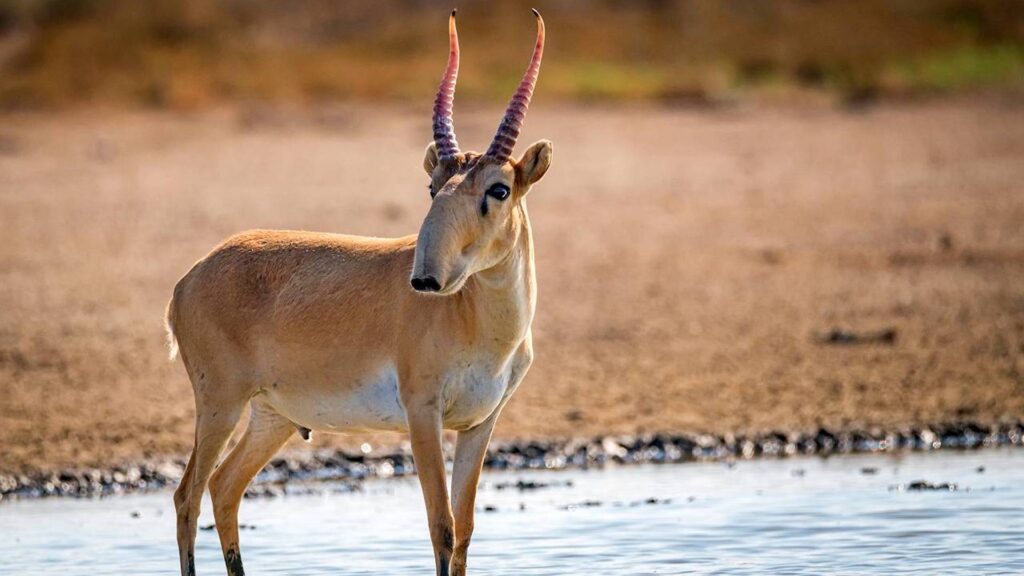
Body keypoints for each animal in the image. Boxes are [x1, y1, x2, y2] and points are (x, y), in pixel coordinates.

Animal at [167, 8, 552, 573]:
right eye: (433, 187)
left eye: (498, 189)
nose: (425, 279)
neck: (478, 324)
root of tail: (189, 279)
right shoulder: (423, 414)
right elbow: (441, 527)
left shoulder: (480, 424)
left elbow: (464, 531)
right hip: (220, 403)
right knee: (188, 494)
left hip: (272, 417)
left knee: (223, 487)